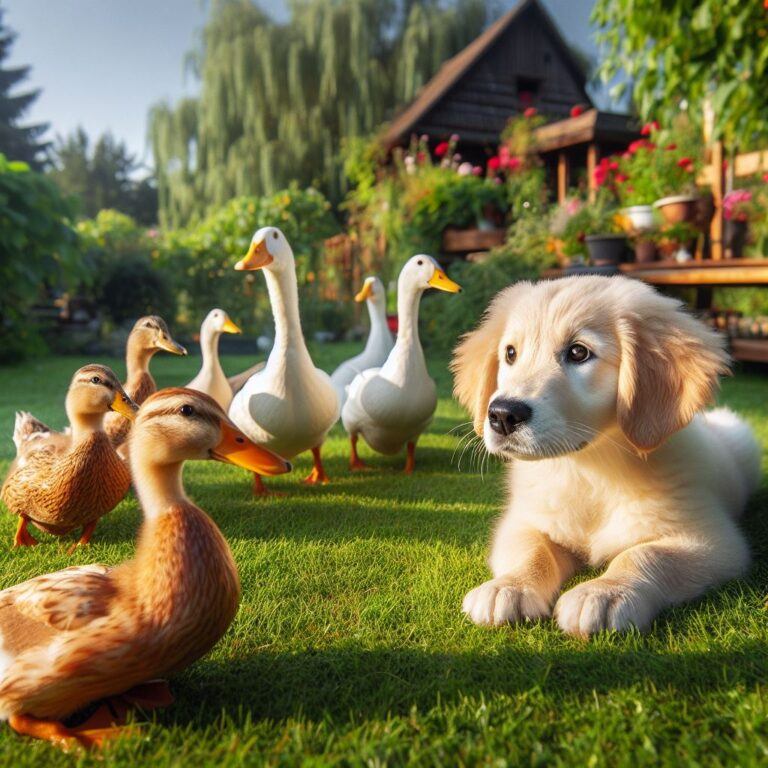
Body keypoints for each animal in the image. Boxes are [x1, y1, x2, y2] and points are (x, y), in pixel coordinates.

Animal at [452, 276, 760, 636]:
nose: (502, 415)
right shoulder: (522, 521)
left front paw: (604, 593)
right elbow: (533, 550)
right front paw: (509, 586)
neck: (589, 470)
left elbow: (645, 555)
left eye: (578, 352)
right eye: (510, 353)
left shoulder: (716, 541)